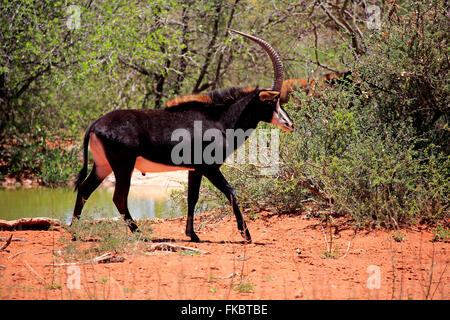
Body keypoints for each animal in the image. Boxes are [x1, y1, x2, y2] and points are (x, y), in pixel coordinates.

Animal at [71, 30, 294, 245]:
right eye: (271, 101)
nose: (289, 124)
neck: (219, 120)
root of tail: (95, 124)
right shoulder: (209, 167)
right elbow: (231, 192)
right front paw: (246, 235)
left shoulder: (194, 170)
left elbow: (192, 198)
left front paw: (192, 234)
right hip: (123, 166)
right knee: (118, 198)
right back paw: (139, 234)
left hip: (103, 165)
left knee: (84, 190)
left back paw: (74, 233)